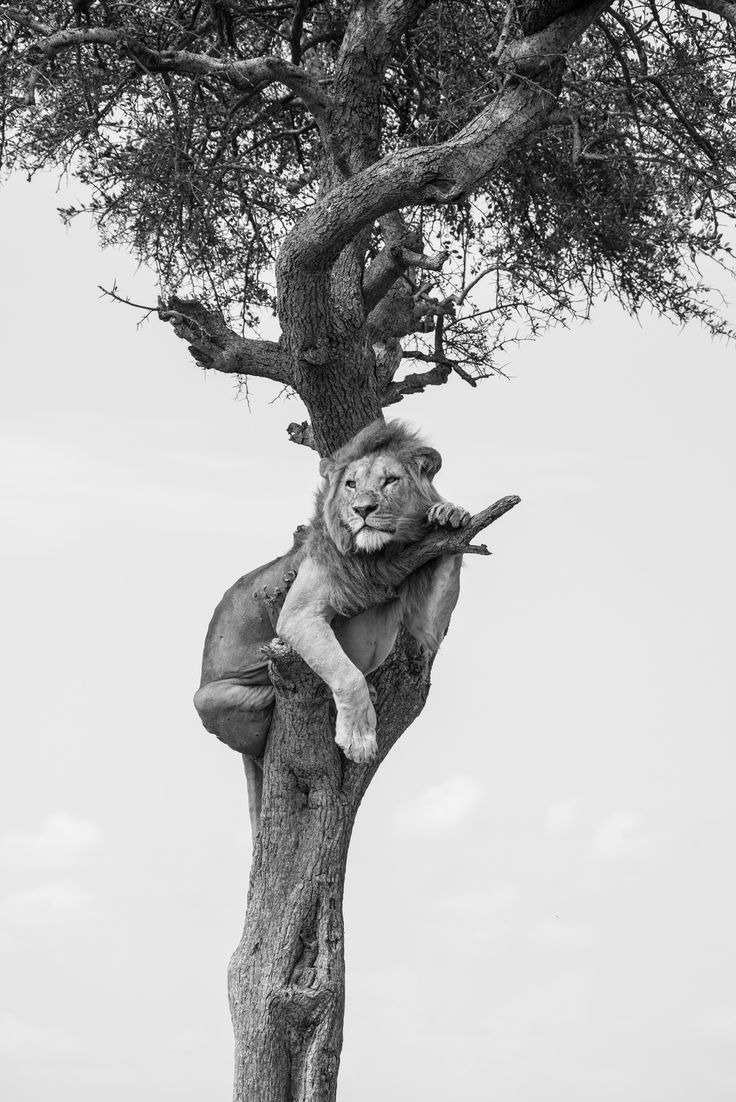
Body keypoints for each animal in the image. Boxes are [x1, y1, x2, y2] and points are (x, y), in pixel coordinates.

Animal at [194, 420, 470, 822]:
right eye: (351, 484)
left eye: (391, 480)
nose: (363, 509)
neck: (380, 554)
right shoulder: (298, 613)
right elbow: (346, 674)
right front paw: (359, 740)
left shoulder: (424, 623)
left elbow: (428, 624)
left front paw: (449, 514)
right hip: (206, 698)